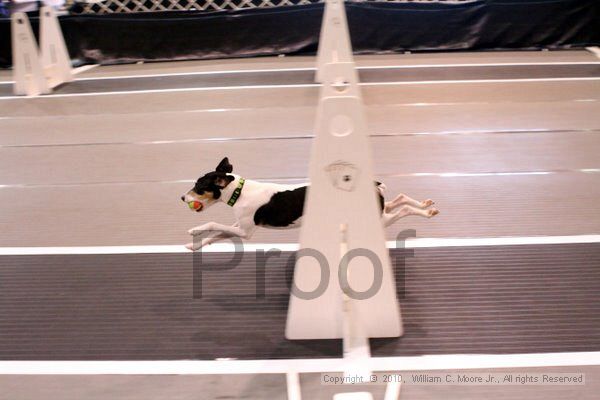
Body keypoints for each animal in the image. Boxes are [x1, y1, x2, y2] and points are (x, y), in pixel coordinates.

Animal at [180, 156, 438, 250]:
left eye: (199, 187)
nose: (182, 198)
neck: (239, 192)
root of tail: (372, 184)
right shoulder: (238, 229)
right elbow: (217, 233)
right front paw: (194, 245)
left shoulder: (246, 232)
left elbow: (212, 224)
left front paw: (194, 230)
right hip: (380, 209)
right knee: (400, 199)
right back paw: (427, 205)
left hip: (378, 218)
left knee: (403, 208)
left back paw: (426, 212)